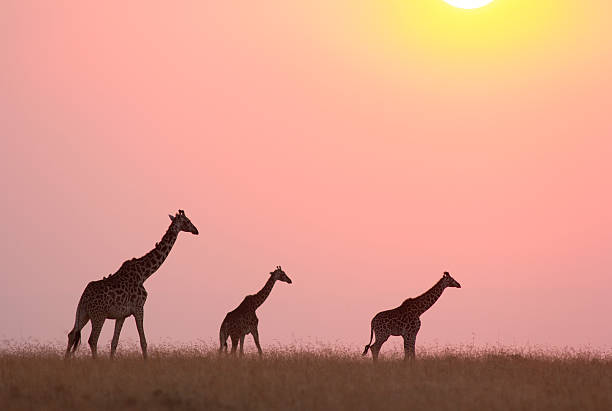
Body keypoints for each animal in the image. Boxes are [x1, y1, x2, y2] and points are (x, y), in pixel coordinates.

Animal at [64, 211, 198, 358]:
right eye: (187, 221)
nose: (196, 230)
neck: (144, 274)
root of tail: (84, 297)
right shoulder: (139, 308)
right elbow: (143, 342)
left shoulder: (121, 315)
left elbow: (114, 342)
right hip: (98, 315)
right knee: (92, 339)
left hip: (83, 313)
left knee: (72, 334)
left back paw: (66, 361)